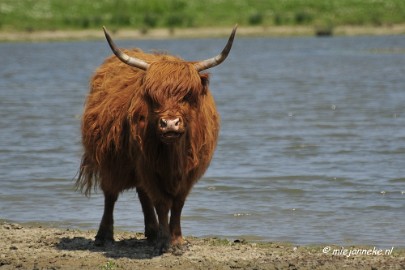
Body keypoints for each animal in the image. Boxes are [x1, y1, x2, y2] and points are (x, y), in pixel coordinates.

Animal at [76, 25, 237, 253]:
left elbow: (177, 204)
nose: (170, 124)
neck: (173, 156)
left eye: (188, 95)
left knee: (142, 195)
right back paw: (104, 235)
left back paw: (151, 232)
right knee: (111, 195)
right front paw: (164, 242)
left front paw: (176, 240)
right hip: (110, 160)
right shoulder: (147, 165)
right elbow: (161, 202)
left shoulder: (189, 172)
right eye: (152, 97)